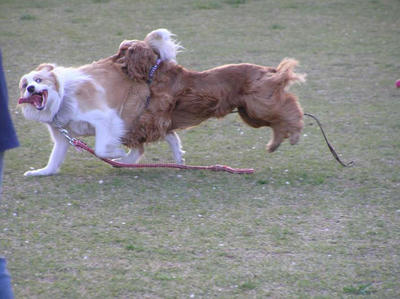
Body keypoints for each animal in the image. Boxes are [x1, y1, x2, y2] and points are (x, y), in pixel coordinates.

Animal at [18, 28, 184, 176]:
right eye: (24, 85)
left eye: (38, 80)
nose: (31, 88)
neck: (62, 99)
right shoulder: (62, 138)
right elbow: (54, 160)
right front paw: (42, 172)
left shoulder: (105, 118)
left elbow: (100, 149)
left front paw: (116, 152)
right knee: (166, 134)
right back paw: (177, 158)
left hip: (127, 116)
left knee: (145, 143)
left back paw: (123, 159)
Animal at [114, 27, 304, 163]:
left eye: (122, 51)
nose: (111, 59)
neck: (155, 71)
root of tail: (269, 71)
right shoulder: (164, 123)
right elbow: (173, 142)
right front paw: (179, 161)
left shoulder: (156, 118)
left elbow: (135, 131)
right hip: (250, 113)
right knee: (279, 122)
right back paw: (274, 144)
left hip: (259, 105)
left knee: (291, 108)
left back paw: (294, 136)